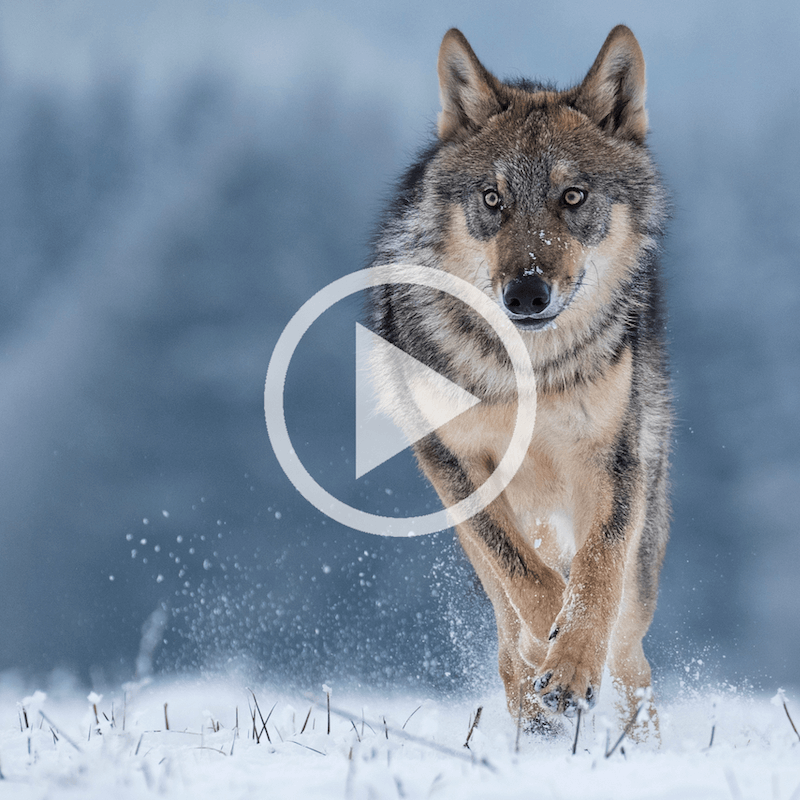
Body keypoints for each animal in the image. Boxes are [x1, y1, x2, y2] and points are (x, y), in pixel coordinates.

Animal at [372, 23, 672, 732]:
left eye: (572, 197)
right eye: (493, 199)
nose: (526, 294)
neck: (526, 371)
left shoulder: (612, 459)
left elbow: (595, 575)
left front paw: (571, 664)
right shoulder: (453, 460)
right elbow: (526, 579)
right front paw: (549, 655)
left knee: (632, 656)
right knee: (508, 627)